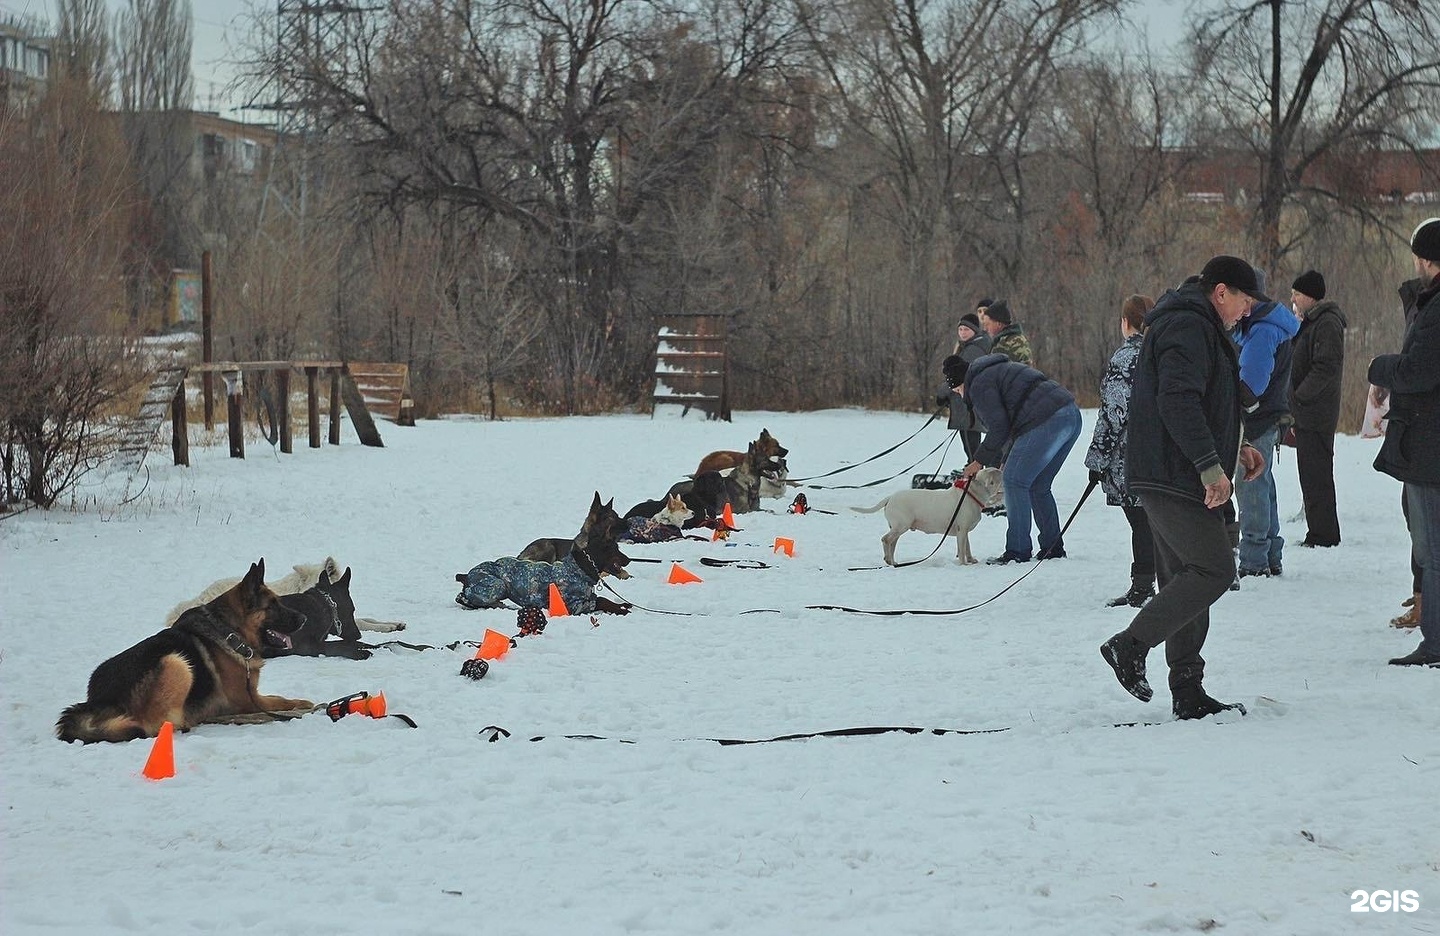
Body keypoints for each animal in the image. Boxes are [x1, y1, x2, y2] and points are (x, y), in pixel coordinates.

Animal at [58, 558, 315, 737]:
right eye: (272, 605)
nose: (304, 618)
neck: (231, 631)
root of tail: (97, 701)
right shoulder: (247, 699)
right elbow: (279, 700)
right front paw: (302, 704)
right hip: (175, 662)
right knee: (158, 725)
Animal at [852, 466, 1002, 561]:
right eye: (997, 473)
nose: (1002, 468)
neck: (972, 493)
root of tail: (890, 498)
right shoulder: (962, 529)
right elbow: (962, 549)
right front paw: (964, 564)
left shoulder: (963, 531)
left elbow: (967, 547)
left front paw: (971, 560)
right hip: (901, 525)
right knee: (886, 539)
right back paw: (889, 560)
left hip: (897, 527)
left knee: (892, 543)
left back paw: (893, 562)